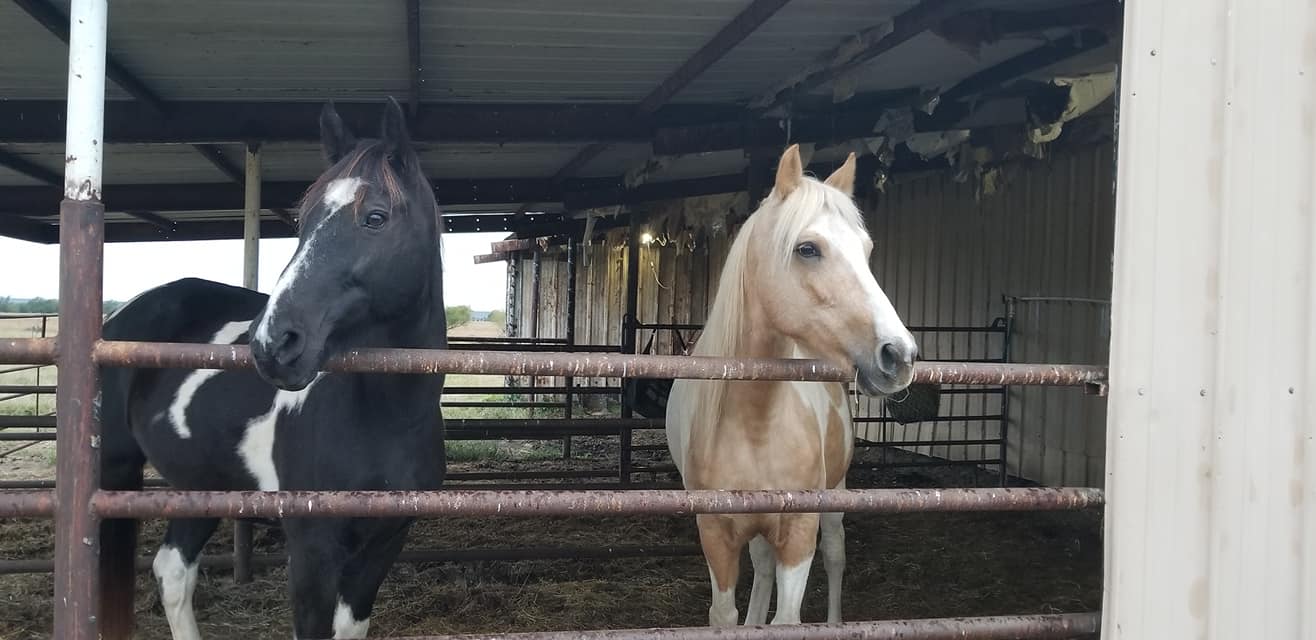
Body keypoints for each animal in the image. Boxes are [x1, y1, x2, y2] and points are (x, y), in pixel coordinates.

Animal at [97, 97, 447, 637]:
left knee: (174, 569)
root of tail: (122, 315)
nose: (271, 343)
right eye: (302, 221)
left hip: (202, 484)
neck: (386, 416)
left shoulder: (384, 543)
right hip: (115, 467)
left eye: (375, 217)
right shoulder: (311, 549)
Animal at [663, 143, 921, 624]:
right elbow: (724, 614)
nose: (900, 355)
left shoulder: (800, 528)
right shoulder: (715, 530)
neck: (754, 422)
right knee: (763, 568)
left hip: (835, 494)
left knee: (836, 555)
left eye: (866, 250)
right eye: (807, 248)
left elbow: (787, 619)